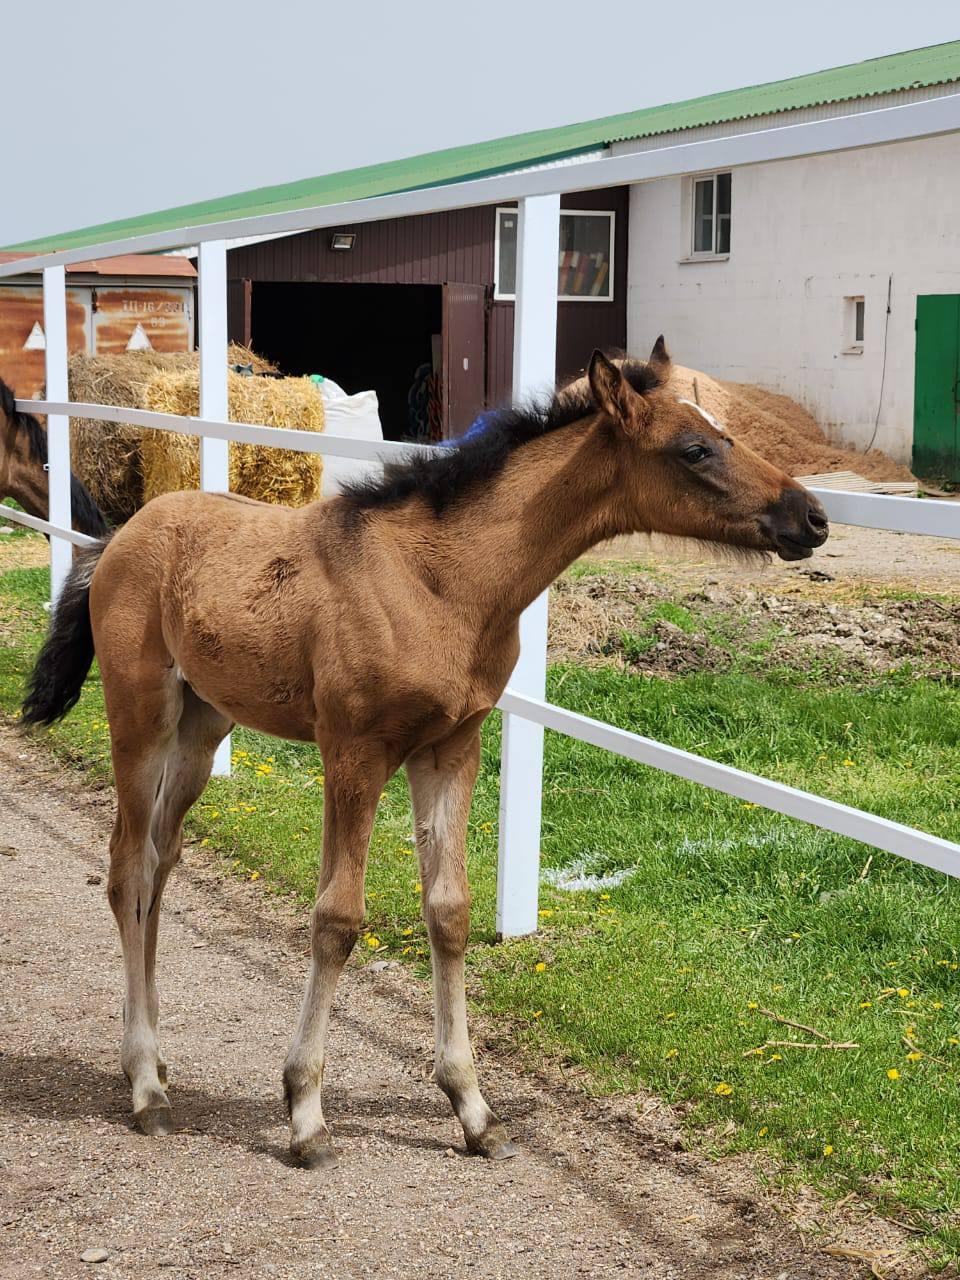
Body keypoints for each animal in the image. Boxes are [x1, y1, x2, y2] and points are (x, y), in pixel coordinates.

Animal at [24, 345, 834, 1167]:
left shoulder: (451, 746)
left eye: (725, 431)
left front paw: (471, 1107)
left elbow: (448, 911)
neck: (440, 581)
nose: (812, 516)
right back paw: (144, 1087)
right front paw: (306, 1112)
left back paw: (157, 1062)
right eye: (695, 449)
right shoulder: (354, 751)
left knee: (161, 866)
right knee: (128, 872)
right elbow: (337, 918)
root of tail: (115, 539)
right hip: (141, 720)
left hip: (201, 729)